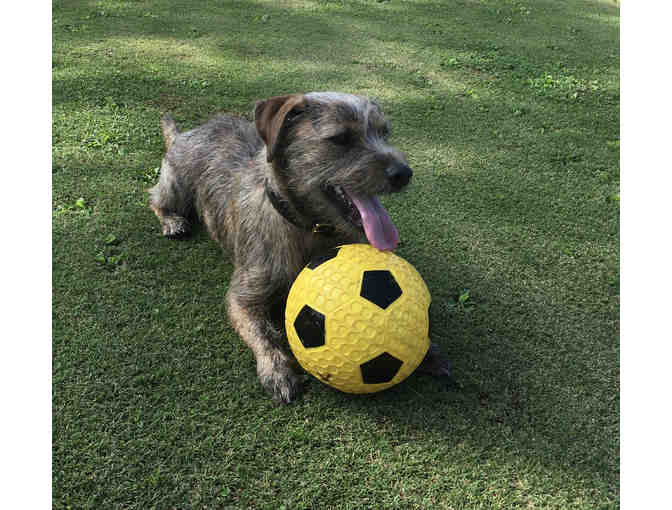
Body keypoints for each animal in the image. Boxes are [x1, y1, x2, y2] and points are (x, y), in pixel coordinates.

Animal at [149, 92, 451, 403]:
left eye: (384, 133)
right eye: (341, 138)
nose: (404, 173)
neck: (310, 230)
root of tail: (184, 134)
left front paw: (426, 352)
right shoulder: (243, 299)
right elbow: (262, 333)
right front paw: (277, 368)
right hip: (176, 186)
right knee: (155, 198)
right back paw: (172, 221)